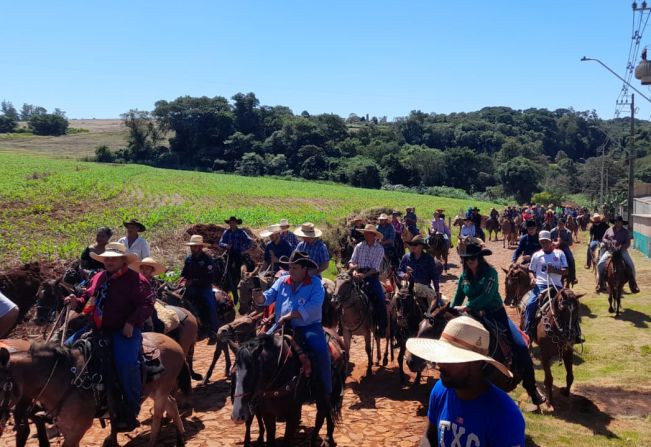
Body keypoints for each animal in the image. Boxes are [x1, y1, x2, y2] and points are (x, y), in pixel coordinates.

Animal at [0, 334, 191, 446]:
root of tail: (175, 343)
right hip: (152, 390)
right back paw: (180, 436)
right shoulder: (66, 427)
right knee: (172, 404)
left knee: (158, 416)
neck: (63, 379)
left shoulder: (78, 429)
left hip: (162, 389)